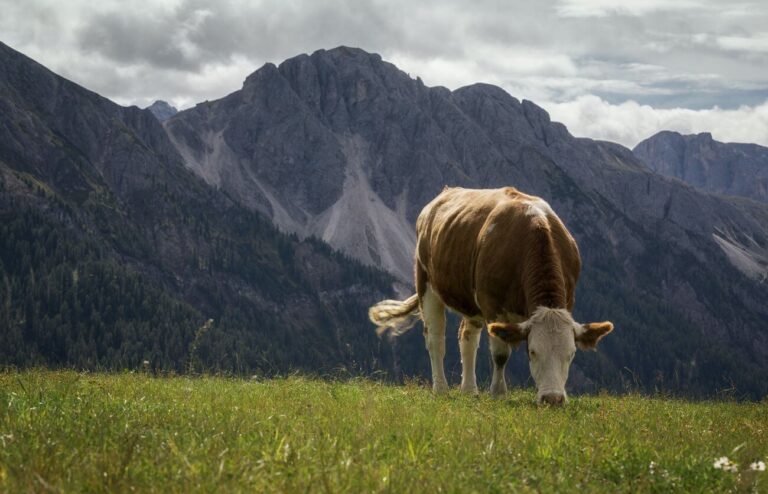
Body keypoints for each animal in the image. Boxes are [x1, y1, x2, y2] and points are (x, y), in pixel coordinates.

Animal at [368, 185, 616, 406]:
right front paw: (498, 393)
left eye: (571, 353)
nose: (553, 399)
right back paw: (441, 388)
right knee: (435, 339)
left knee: (467, 337)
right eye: (532, 352)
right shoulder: (492, 305)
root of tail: (445, 193)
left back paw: (469, 389)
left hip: (470, 302)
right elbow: (500, 354)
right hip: (427, 284)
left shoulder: (568, 300)